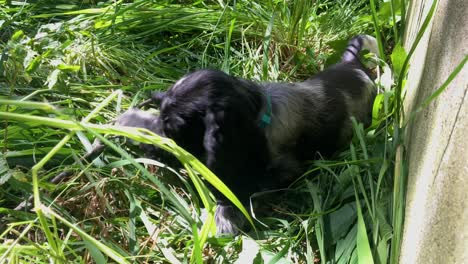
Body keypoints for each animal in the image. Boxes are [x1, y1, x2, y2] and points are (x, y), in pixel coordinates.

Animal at [119, 34, 378, 234]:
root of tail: (353, 64)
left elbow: (249, 190)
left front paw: (226, 216)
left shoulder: (285, 170)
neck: (258, 111)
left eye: (174, 129)